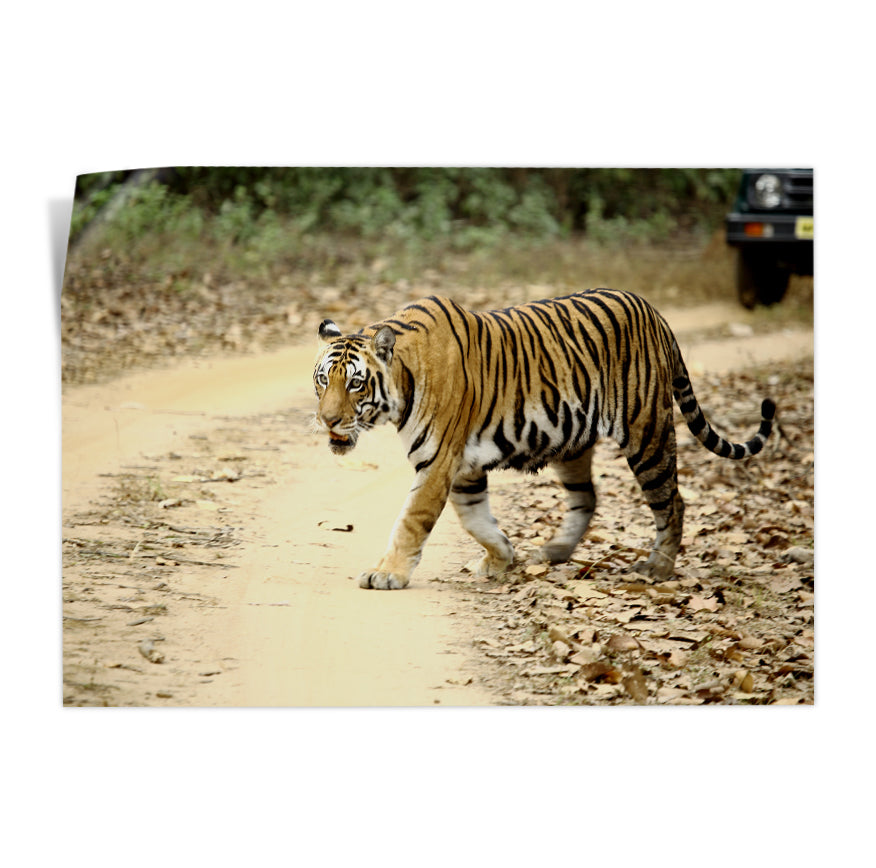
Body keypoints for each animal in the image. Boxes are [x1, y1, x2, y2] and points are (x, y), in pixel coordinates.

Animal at [313, 288, 775, 590]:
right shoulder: (463, 467)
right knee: (587, 498)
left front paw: (387, 573)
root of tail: (654, 311)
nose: (327, 419)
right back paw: (553, 552)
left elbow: (412, 520)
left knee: (672, 501)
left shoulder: (438, 461)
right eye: (322, 380)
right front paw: (501, 558)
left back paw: (658, 568)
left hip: (647, 433)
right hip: (573, 441)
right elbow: (476, 519)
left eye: (355, 384)